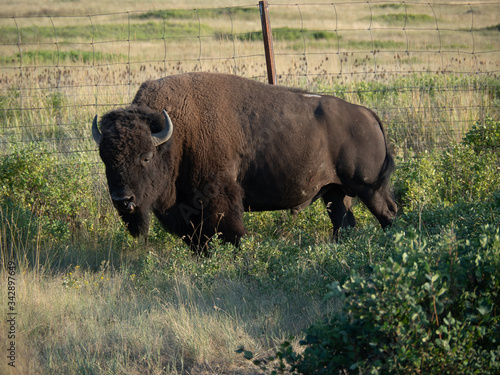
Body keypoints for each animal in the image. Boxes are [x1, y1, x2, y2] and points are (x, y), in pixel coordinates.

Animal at [92, 72, 396, 254]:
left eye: (145, 156)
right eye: (104, 158)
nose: (123, 200)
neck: (176, 135)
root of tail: (368, 114)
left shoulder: (219, 199)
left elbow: (231, 232)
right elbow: (198, 241)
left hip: (370, 188)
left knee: (387, 214)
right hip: (335, 191)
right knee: (343, 221)